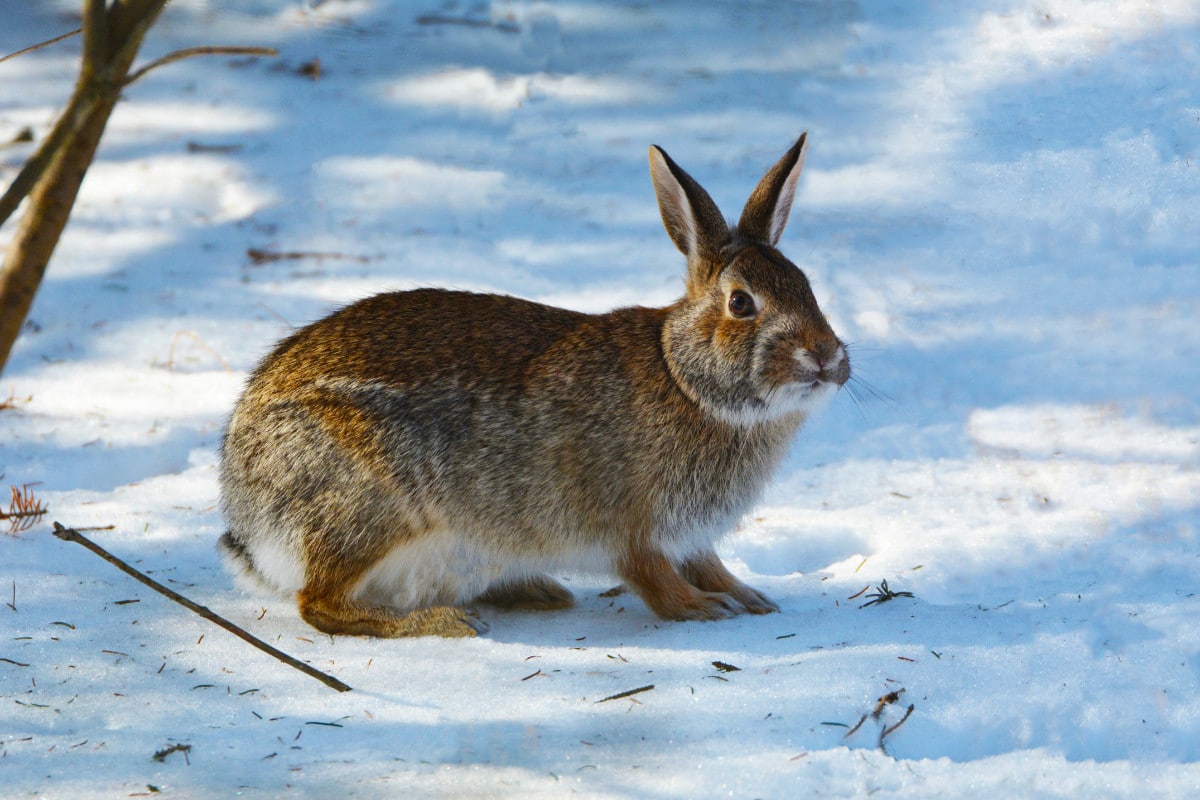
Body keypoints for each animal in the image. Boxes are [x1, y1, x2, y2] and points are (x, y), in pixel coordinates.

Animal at [218, 134, 854, 642]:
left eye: (806, 286)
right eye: (741, 303)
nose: (828, 357)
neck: (686, 380)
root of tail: (246, 510)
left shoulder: (689, 535)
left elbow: (708, 562)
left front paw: (749, 597)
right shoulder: (631, 524)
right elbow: (652, 579)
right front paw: (705, 609)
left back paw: (536, 590)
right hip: (373, 508)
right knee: (318, 603)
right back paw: (444, 622)